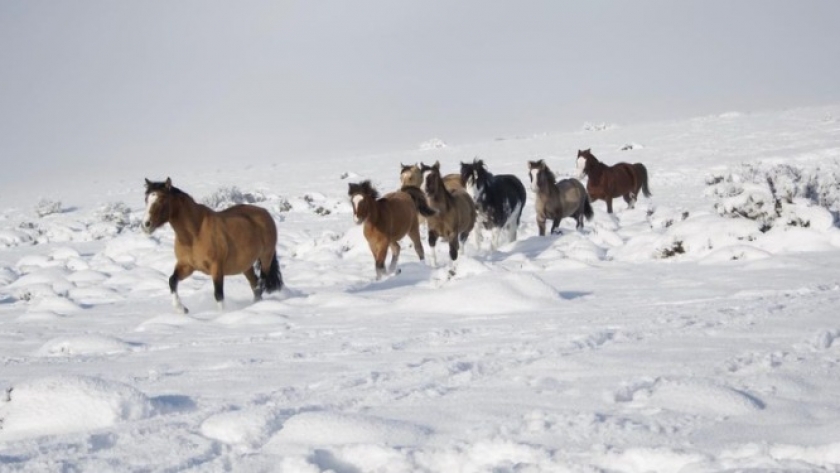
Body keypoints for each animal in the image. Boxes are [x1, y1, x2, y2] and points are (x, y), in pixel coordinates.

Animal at [142, 178, 283, 314]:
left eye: (161, 199)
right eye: (146, 199)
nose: (146, 225)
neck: (195, 234)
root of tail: (264, 213)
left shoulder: (216, 268)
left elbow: (218, 295)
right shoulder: (187, 266)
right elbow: (172, 281)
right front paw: (182, 309)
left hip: (266, 258)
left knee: (262, 282)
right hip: (246, 266)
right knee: (255, 285)